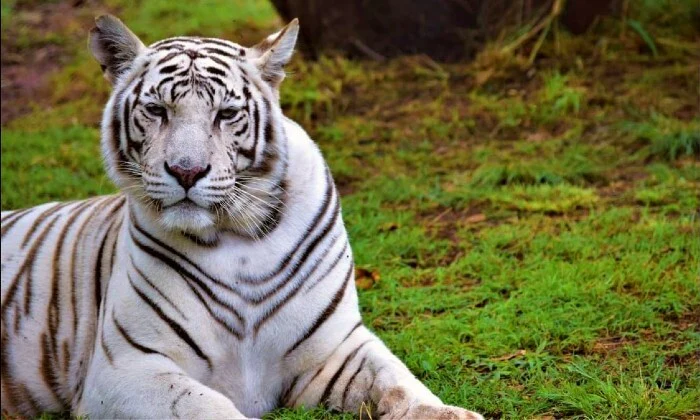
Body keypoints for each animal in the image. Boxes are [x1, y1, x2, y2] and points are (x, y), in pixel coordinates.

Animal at [0, 14, 484, 419]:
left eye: (226, 114)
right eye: (157, 110)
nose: (187, 170)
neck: (239, 236)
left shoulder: (336, 348)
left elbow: (398, 381)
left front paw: (448, 413)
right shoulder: (124, 367)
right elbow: (203, 406)